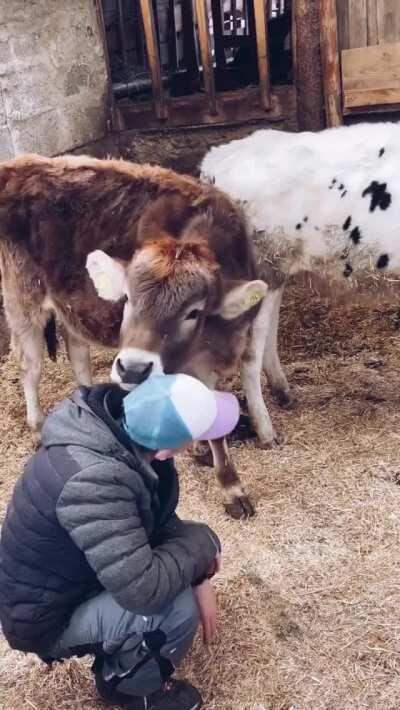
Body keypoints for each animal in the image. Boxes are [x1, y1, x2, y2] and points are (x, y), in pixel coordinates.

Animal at [0, 153, 275, 519]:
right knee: (30, 368)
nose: (131, 368)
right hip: (23, 298)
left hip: (70, 305)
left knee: (77, 352)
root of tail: (22, 164)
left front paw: (200, 449)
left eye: (194, 312)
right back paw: (38, 427)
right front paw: (232, 487)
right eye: (127, 298)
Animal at [201, 122, 400, 440]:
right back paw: (263, 430)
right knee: (248, 353)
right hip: (262, 270)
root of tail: (219, 158)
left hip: (273, 271)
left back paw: (281, 393)